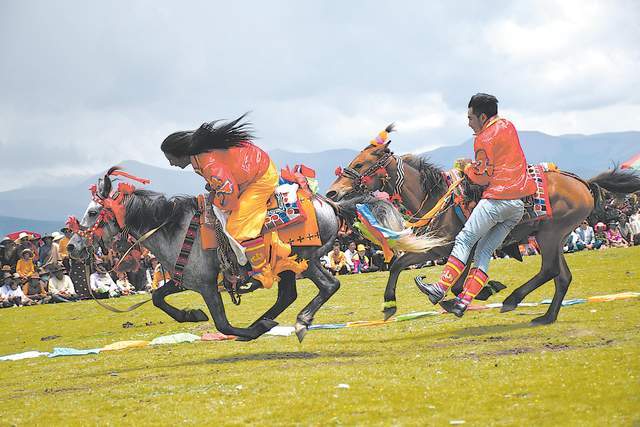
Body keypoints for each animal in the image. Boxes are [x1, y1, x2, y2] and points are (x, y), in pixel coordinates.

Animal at [67, 167, 442, 342]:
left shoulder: (207, 284)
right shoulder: (185, 279)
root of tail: (330, 204)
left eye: (91, 213)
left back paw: (292, 323)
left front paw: (240, 331)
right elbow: (159, 297)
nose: (71, 246)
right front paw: (191, 316)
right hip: (295, 265)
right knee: (294, 293)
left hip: (303, 260)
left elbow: (221, 322)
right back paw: (267, 321)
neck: (173, 226)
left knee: (326, 287)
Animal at [328, 135, 640, 326]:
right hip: (552, 235)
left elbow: (422, 272)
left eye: (359, 164)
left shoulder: (446, 245)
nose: (332, 192)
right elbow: (408, 267)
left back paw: (515, 299)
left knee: (551, 271)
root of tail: (583, 183)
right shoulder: (450, 247)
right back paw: (545, 316)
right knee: (561, 276)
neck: (437, 196)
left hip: (551, 235)